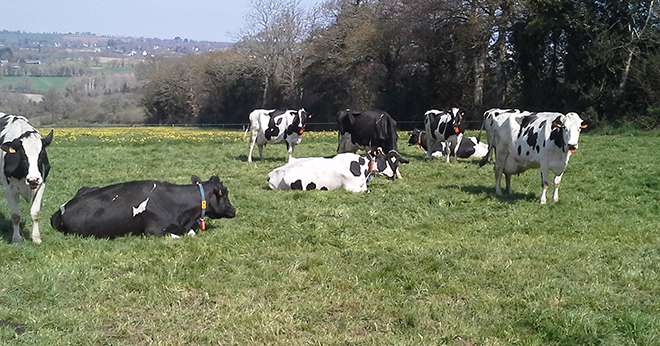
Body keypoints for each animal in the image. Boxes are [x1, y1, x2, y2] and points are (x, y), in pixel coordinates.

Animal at [0, 113, 53, 243]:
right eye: (23, 156)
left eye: (42, 154)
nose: (33, 179)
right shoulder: (9, 188)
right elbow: (15, 215)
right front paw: (16, 238)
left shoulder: (41, 184)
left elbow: (35, 212)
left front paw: (36, 238)